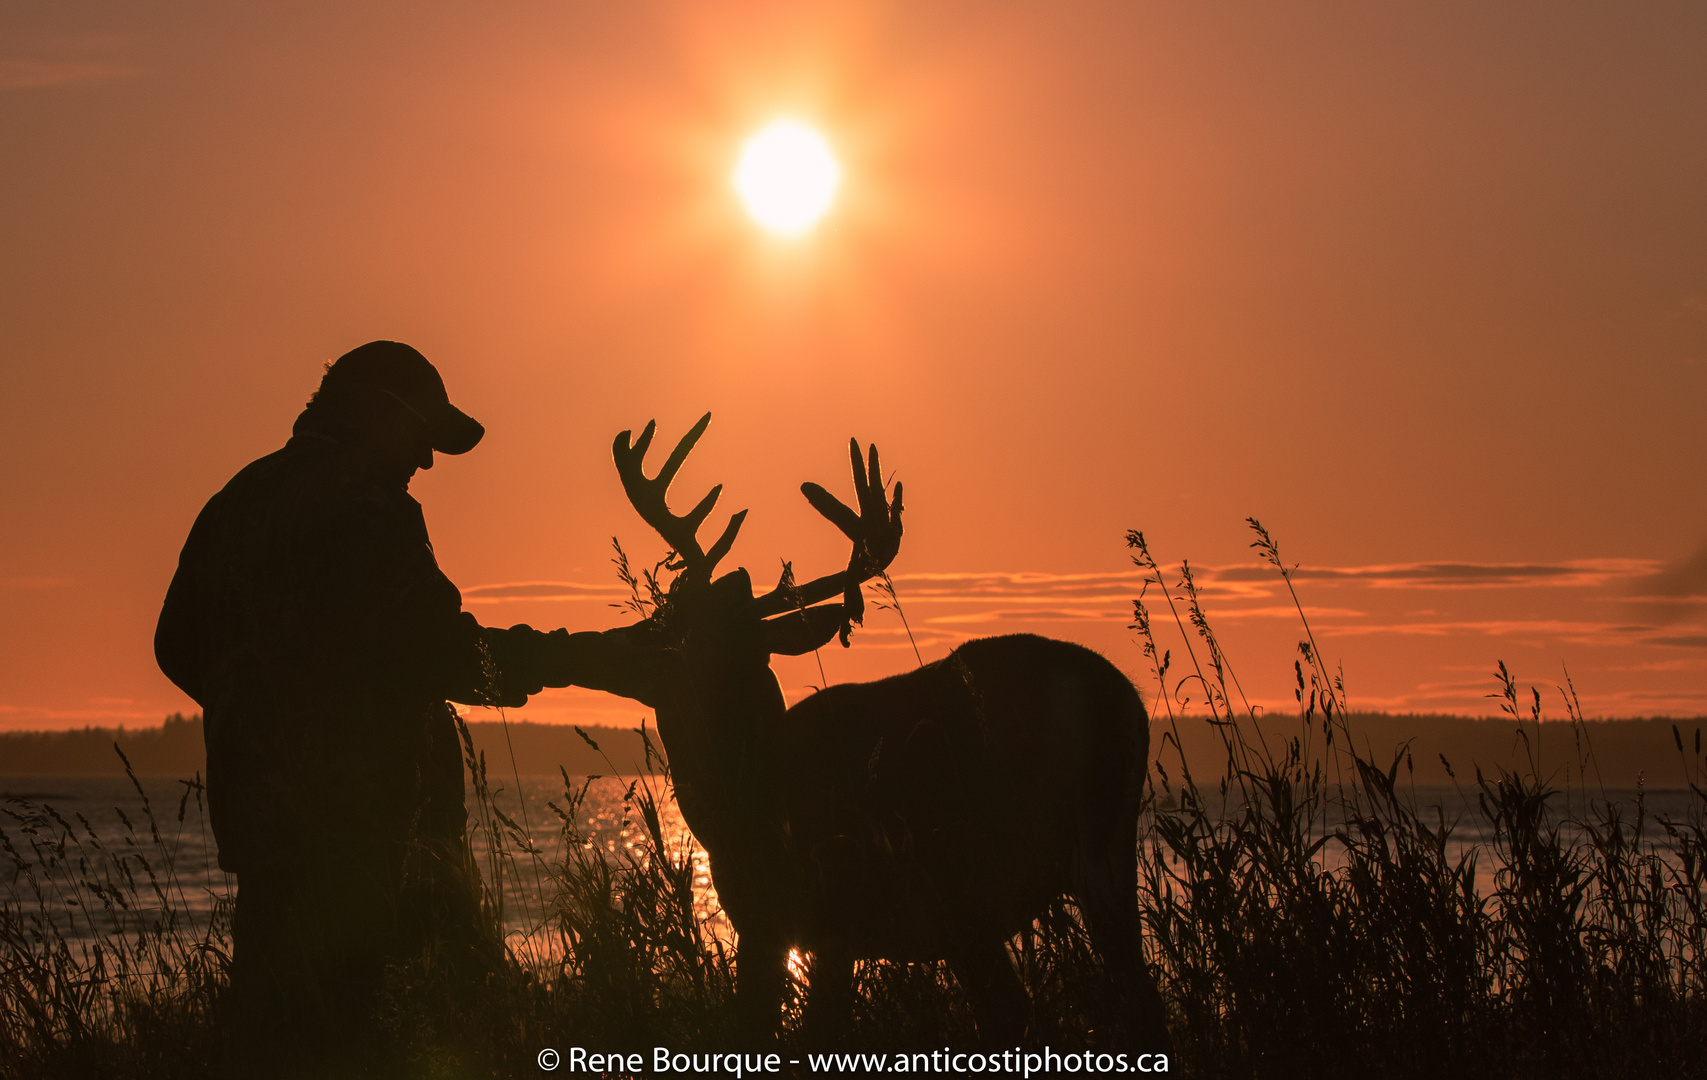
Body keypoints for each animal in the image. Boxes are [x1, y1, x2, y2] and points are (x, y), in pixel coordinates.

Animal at [600, 412, 1174, 1044]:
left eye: (665, 630)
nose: (612, 651)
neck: (747, 790)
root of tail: (1122, 700)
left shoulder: (810, 912)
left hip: (993, 868)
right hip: (1087, 861)